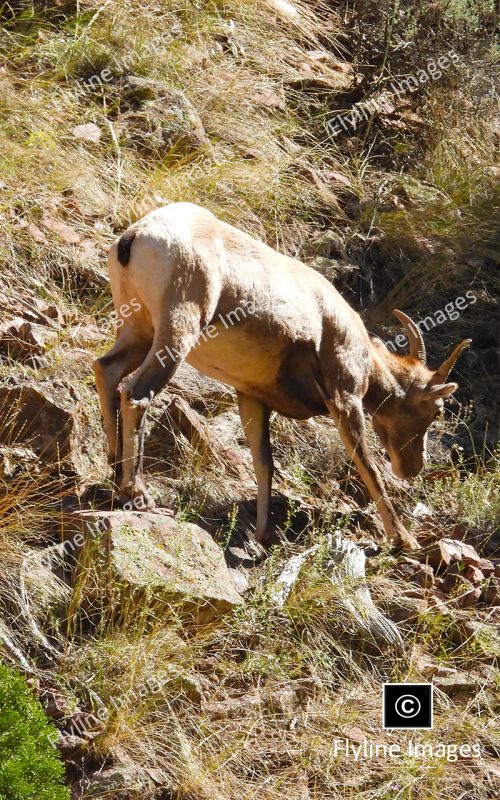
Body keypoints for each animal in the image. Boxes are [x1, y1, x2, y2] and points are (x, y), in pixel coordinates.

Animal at [94, 203, 472, 552]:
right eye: (436, 410)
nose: (414, 468)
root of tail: (137, 235)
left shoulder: (252, 398)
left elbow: (264, 463)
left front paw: (263, 536)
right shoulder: (345, 400)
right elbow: (369, 467)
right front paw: (404, 539)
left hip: (139, 331)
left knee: (106, 370)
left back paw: (114, 472)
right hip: (176, 334)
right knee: (137, 393)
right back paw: (138, 493)